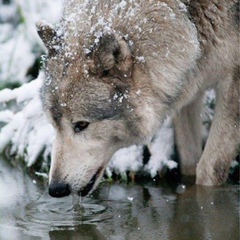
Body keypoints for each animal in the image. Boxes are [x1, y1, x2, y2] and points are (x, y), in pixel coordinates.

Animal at [36, 0, 239, 197]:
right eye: (54, 125)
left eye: (81, 124)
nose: (55, 189)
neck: (186, 16)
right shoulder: (189, 88)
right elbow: (189, 162)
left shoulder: (233, 81)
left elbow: (208, 169)